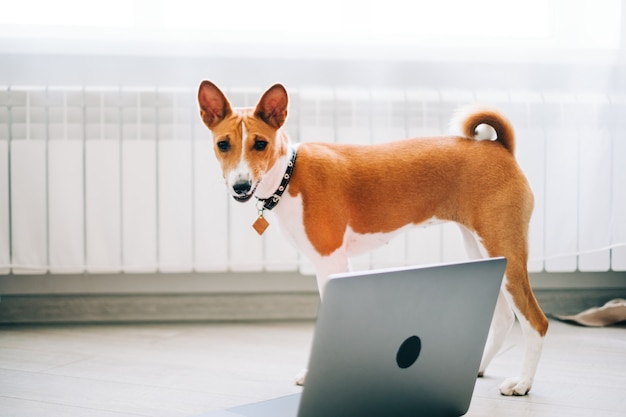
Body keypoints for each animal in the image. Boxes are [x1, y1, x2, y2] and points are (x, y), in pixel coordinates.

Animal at [196, 79, 544, 394]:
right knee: (504, 318)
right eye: (223, 144)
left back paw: (523, 383)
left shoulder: (330, 262)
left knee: (536, 322)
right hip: (484, 252)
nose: (240, 185)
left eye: (260, 144)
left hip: (506, 253)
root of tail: (499, 147)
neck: (289, 175)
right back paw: (477, 368)